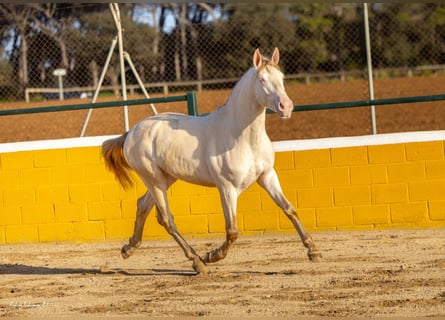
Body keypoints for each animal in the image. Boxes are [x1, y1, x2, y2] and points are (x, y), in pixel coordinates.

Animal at [102, 47, 320, 272]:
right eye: (262, 79)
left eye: (282, 77)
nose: (286, 106)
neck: (241, 137)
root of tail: (132, 132)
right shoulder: (227, 188)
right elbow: (232, 231)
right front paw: (211, 255)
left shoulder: (267, 176)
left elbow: (289, 209)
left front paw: (313, 251)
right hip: (153, 180)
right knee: (166, 219)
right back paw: (197, 261)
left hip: (166, 178)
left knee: (144, 206)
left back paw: (129, 248)